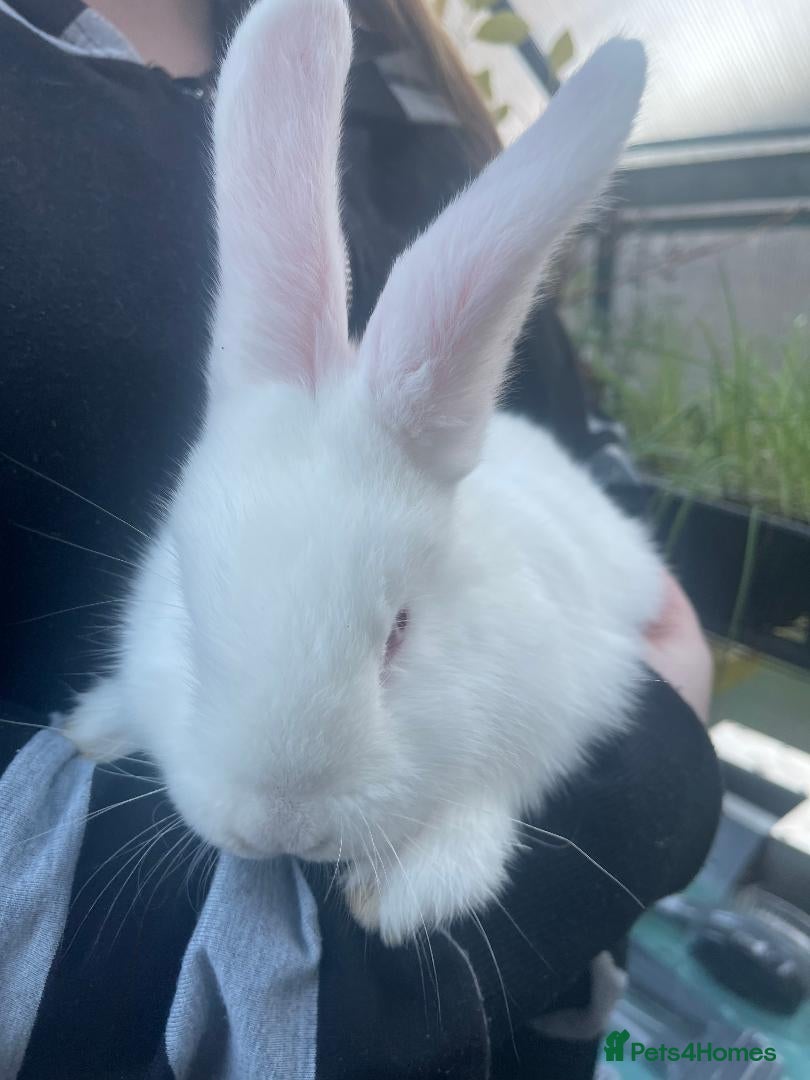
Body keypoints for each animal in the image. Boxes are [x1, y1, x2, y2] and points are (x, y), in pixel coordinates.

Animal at [64, 0, 663, 946]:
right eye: (187, 616)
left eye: (401, 634)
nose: (280, 825)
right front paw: (94, 722)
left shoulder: (566, 700)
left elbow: (487, 803)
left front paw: (413, 892)